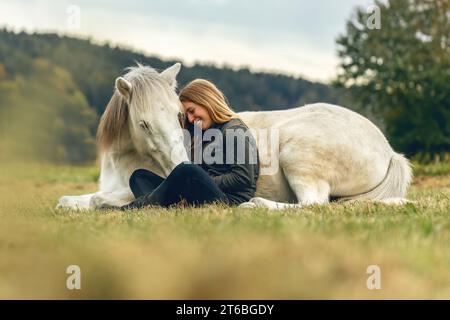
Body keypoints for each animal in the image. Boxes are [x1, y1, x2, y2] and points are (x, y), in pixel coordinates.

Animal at [58, 63, 414, 211]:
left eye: (178, 114)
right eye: (144, 124)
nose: (180, 166)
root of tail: (388, 151)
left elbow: (99, 200)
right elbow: (69, 201)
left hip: (299, 159)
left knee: (312, 204)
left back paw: (255, 206)